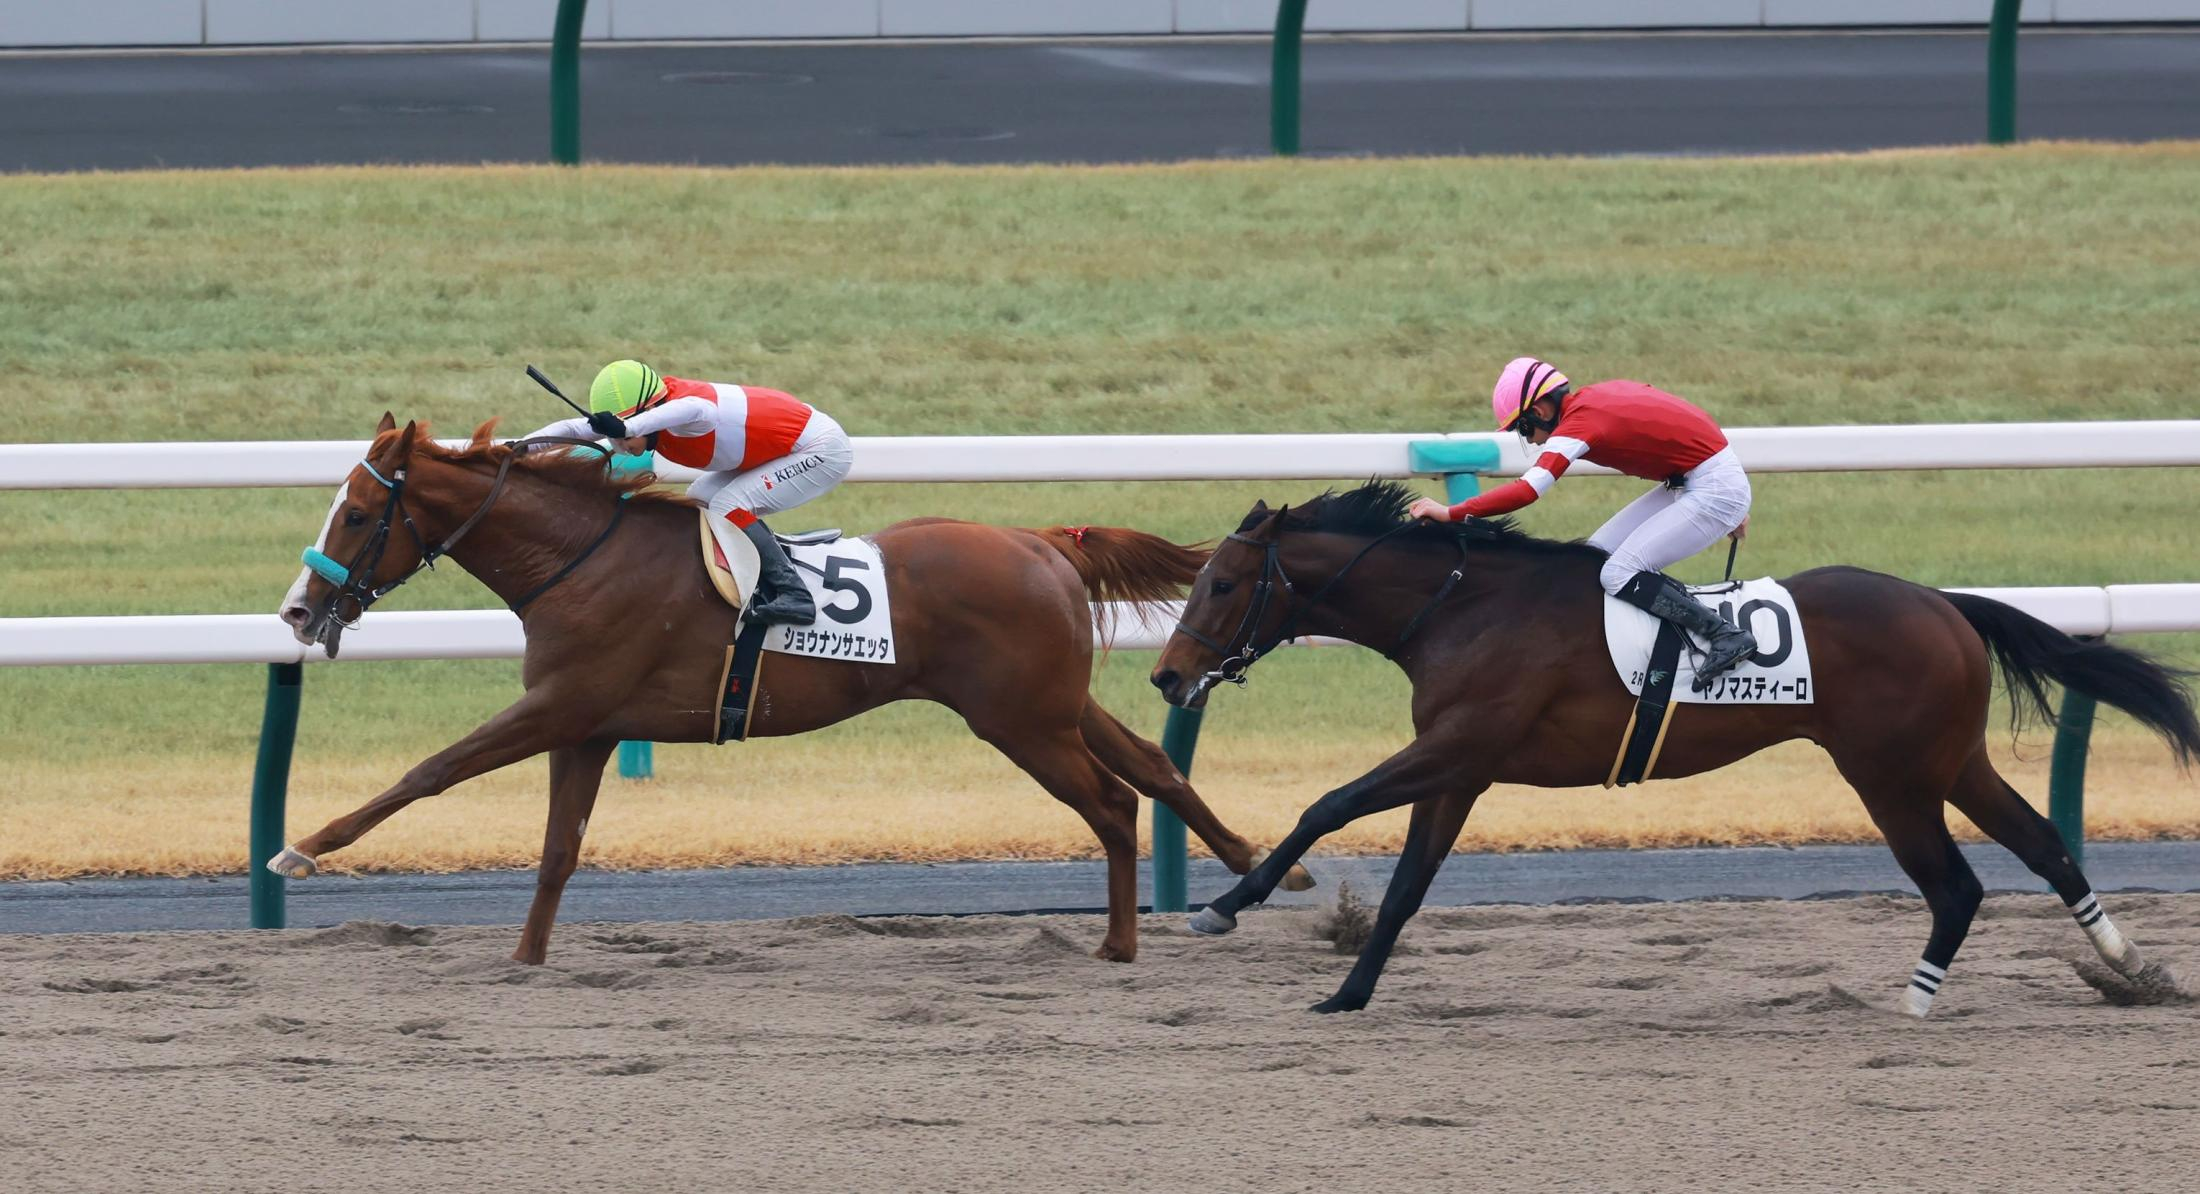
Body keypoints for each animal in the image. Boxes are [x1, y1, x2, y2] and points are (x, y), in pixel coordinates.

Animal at [272, 415, 1302, 967]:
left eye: (356, 514)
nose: (298, 611)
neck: (579, 559)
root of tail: (1045, 541)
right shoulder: (588, 726)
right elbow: (559, 851)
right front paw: (525, 958)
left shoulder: (559, 706)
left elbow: (430, 771)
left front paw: (302, 851)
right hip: (1052, 705)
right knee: (1155, 766)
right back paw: (1252, 865)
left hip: (1021, 723)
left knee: (1114, 803)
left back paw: (1122, 942)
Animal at [1161, 485, 2191, 1020]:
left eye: (1221, 585)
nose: (1169, 678)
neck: (1462, 605)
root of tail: (1945, 602)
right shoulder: (1460, 767)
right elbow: (1410, 882)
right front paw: (1350, 991)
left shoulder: (1459, 744)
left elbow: (1327, 805)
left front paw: (1226, 905)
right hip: (1949, 760)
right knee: (2042, 844)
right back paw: (2132, 965)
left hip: (1891, 773)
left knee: (1957, 884)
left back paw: (1916, 1000)